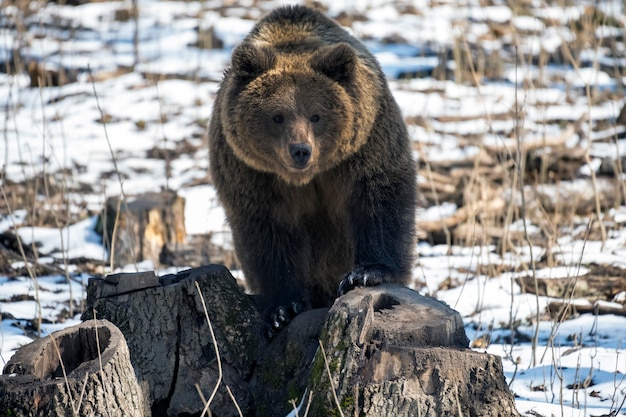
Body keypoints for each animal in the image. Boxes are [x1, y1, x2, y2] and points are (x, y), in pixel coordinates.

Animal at [207, 4, 416, 334]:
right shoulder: (251, 173)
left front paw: (365, 273)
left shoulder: (365, 145)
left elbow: (378, 200)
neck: (308, 177)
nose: (300, 150)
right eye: (277, 116)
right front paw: (282, 309)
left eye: (316, 115)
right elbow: (268, 233)